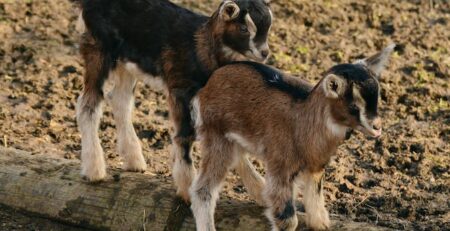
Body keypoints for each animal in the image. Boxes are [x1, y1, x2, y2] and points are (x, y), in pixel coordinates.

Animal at [186, 44, 394, 230]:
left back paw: (262, 194)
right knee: (203, 190)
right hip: (216, 135)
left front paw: (318, 222)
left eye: (377, 98)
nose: (377, 128)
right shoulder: (282, 166)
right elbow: (287, 219)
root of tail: (208, 84)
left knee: (238, 157)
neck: (302, 122)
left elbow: (317, 208)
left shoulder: (316, 166)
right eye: (353, 106)